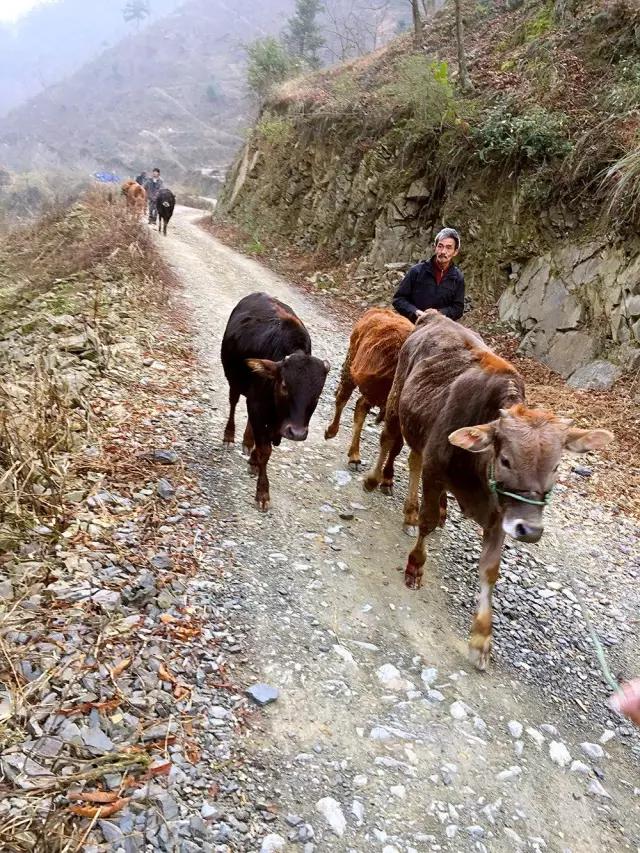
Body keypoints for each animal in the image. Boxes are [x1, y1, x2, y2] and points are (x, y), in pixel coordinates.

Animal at [221, 290, 330, 510]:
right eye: (285, 386)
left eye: (318, 394)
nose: (297, 433)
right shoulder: (257, 406)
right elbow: (265, 451)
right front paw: (263, 493)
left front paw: (254, 460)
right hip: (234, 382)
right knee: (233, 403)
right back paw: (229, 436)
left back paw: (247, 442)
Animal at [324, 306, 416, 466]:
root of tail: (377, 311)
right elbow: (395, 444)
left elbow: (397, 446)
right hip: (351, 367)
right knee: (342, 399)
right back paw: (331, 432)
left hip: (375, 391)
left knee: (360, 406)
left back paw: (354, 454)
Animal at [362, 310, 612, 668]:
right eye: (506, 459)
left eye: (556, 466)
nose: (530, 530)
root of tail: (434, 316)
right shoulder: (436, 471)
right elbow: (427, 522)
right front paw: (415, 567)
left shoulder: (500, 514)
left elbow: (490, 569)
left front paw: (481, 638)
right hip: (397, 399)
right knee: (388, 440)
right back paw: (374, 480)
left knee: (412, 459)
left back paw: (410, 511)